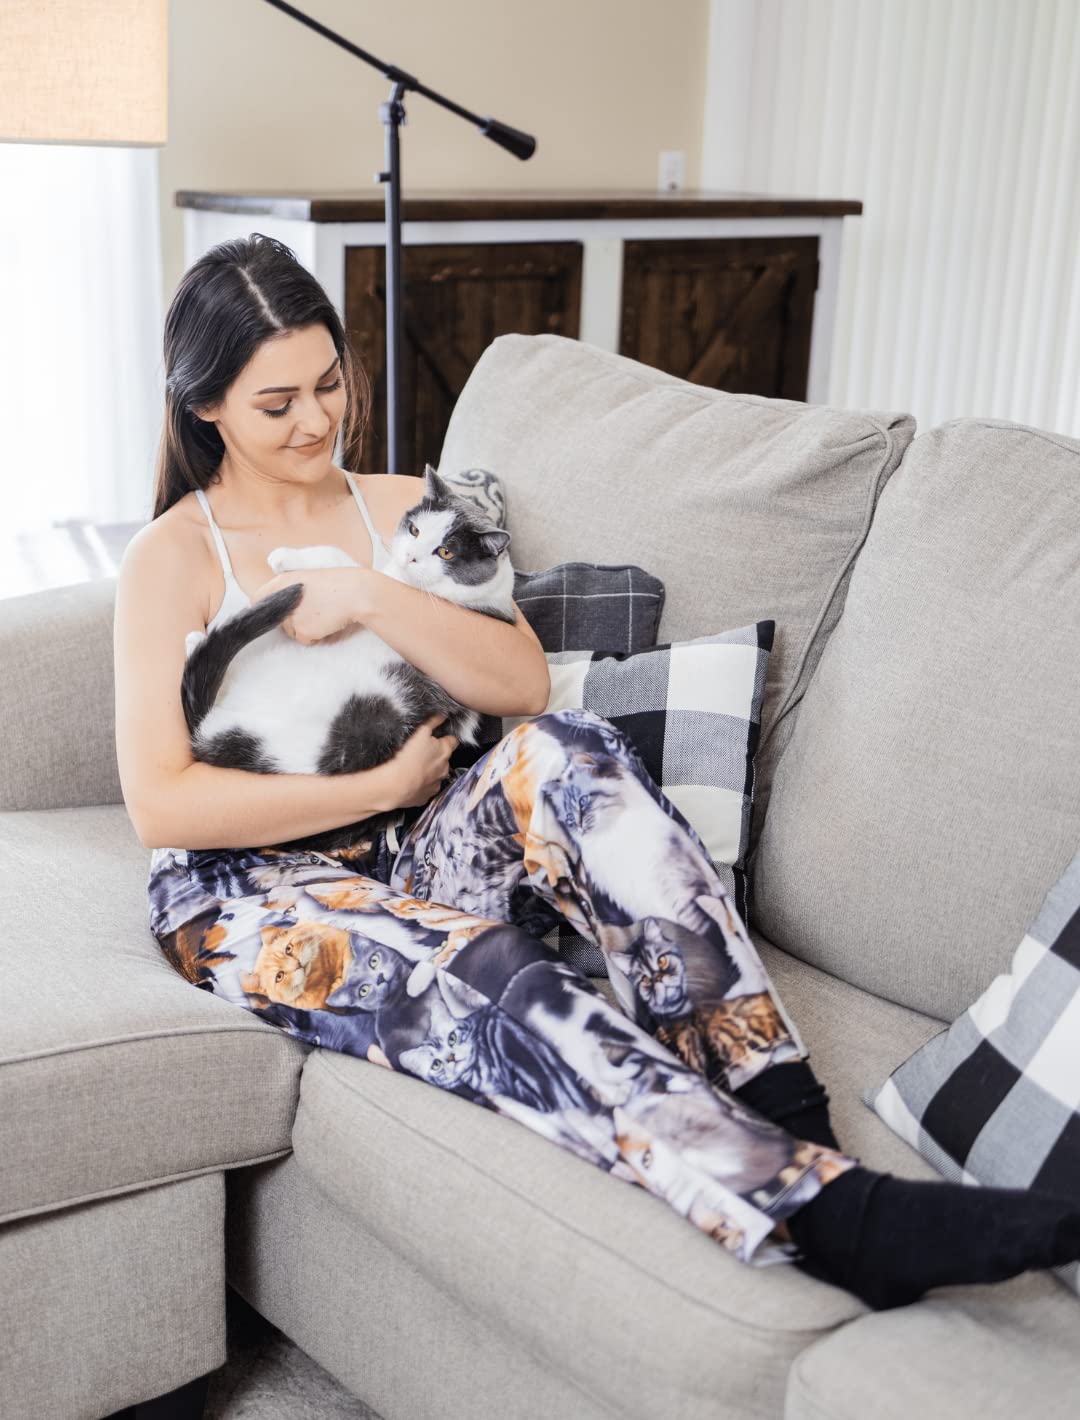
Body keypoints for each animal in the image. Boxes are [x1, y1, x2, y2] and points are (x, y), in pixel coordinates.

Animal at [180, 462, 513, 778]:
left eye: (445, 552)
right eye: (415, 530)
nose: (410, 557)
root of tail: (205, 732)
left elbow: (348, 566)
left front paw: (284, 557)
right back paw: (195, 639)